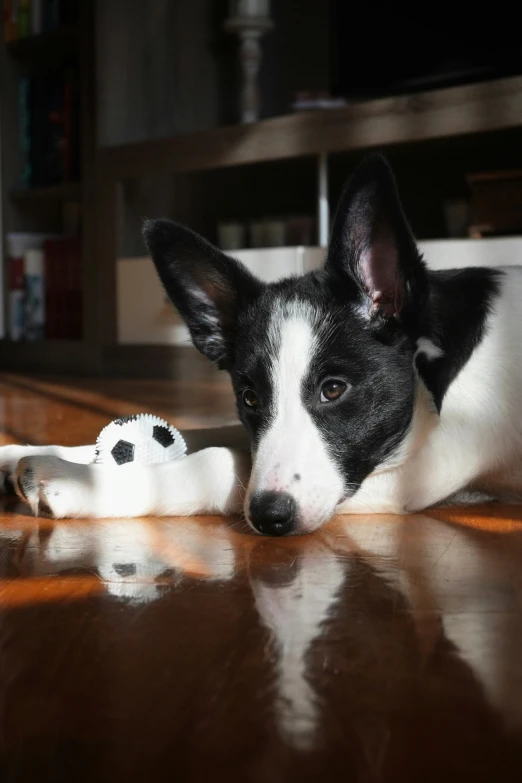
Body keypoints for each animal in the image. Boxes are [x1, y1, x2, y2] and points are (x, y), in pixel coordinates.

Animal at [1, 155, 520, 536]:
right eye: (249, 398)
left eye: (334, 389)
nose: (271, 518)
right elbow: (205, 435)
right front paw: (31, 453)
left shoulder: (411, 473)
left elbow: (219, 465)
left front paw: (79, 483)